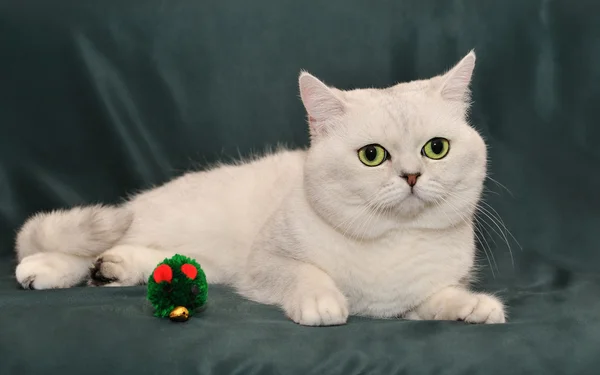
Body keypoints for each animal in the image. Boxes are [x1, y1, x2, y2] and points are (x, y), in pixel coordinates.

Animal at [14, 50, 506, 326]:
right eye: (372, 155)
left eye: (436, 148)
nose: (411, 176)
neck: (392, 242)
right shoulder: (266, 262)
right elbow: (304, 273)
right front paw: (323, 303)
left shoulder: (412, 299)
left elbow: (439, 298)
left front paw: (476, 308)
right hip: (170, 223)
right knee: (79, 245)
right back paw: (45, 269)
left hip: (198, 258)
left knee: (160, 261)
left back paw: (113, 269)